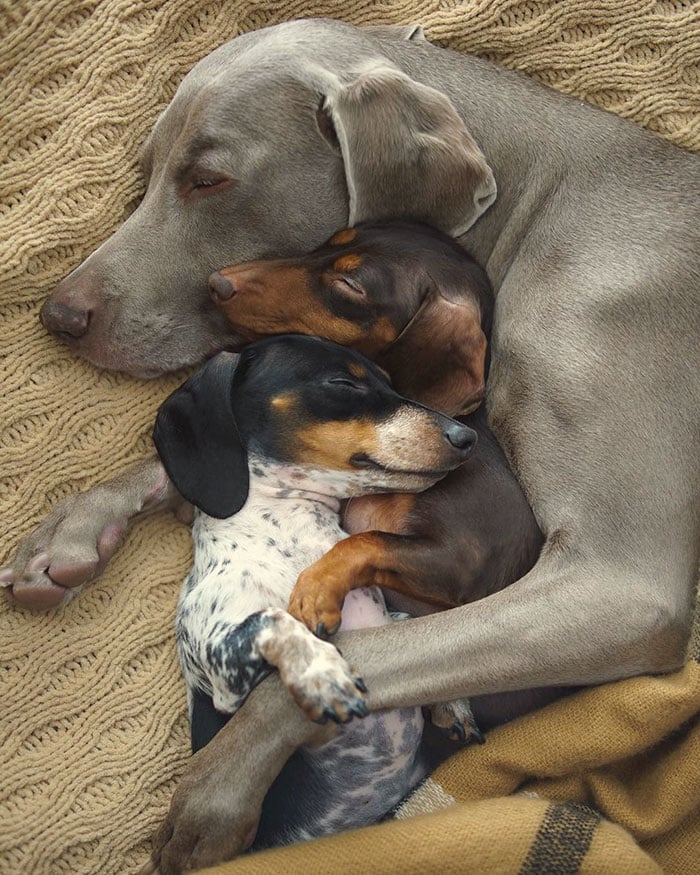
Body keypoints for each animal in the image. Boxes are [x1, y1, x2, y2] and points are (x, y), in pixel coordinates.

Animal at [1, 15, 700, 875]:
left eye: (208, 179)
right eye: (146, 173)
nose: (57, 317)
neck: (541, 213)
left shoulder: (617, 587)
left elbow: (361, 647)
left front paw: (218, 783)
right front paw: (73, 528)